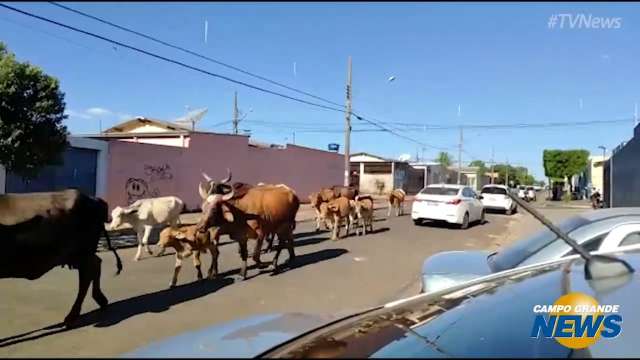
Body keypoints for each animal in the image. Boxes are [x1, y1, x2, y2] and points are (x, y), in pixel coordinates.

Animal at [0, 190, 122, 328]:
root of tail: (93, 199)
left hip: (83, 253)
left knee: (87, 276)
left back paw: (72, 317)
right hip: (82, 255)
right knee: (96, 265)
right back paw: (100, 299)